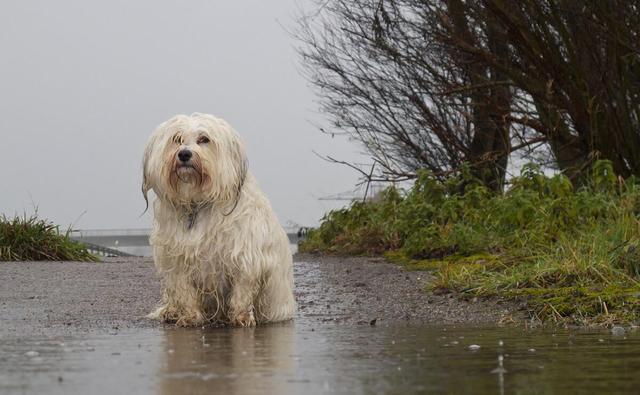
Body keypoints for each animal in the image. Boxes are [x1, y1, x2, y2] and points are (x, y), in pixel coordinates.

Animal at [142, 113, 296, 326]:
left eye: (204, 139)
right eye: (177, 139)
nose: (184, 154)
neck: (197, 203)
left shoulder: (244, 256)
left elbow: (242, 291)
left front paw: (241, 317)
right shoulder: (177, 260)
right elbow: (184, 291)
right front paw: (190, 316)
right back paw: (171, 312)